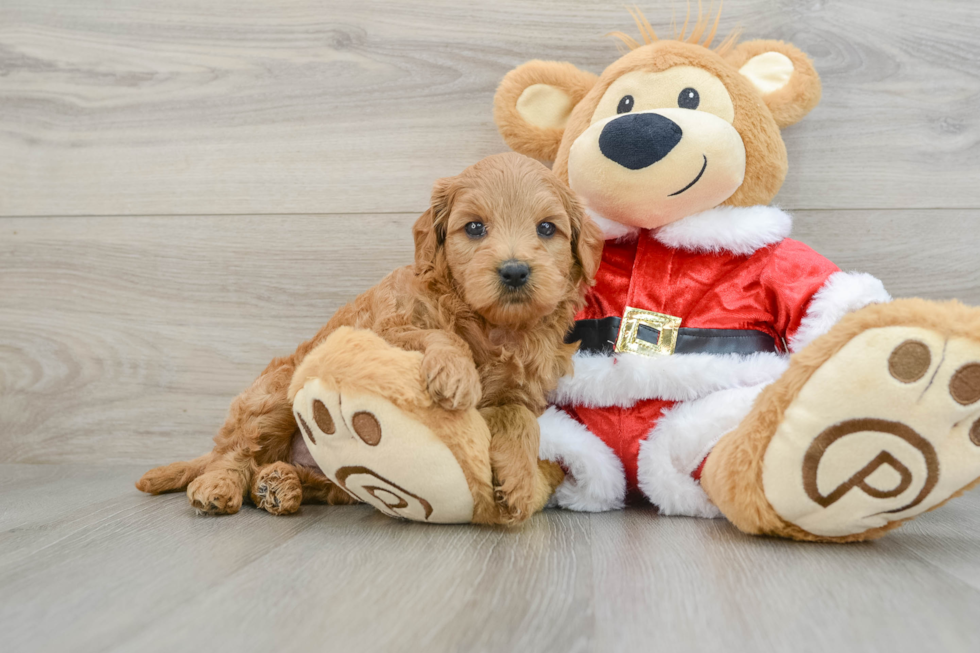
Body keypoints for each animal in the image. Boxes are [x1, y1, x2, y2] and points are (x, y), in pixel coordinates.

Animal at [134, 150, 600, 524]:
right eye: (474, 228)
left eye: (546, 229)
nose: (515, 271)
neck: (491, 325)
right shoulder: (382, 328)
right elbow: (434, 334)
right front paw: (457, 374)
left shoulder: (520, 391)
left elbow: (522, 421)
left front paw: (520, 481)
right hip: (274, 392)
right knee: (236, 452)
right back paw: (220, 486)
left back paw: (280, 484)